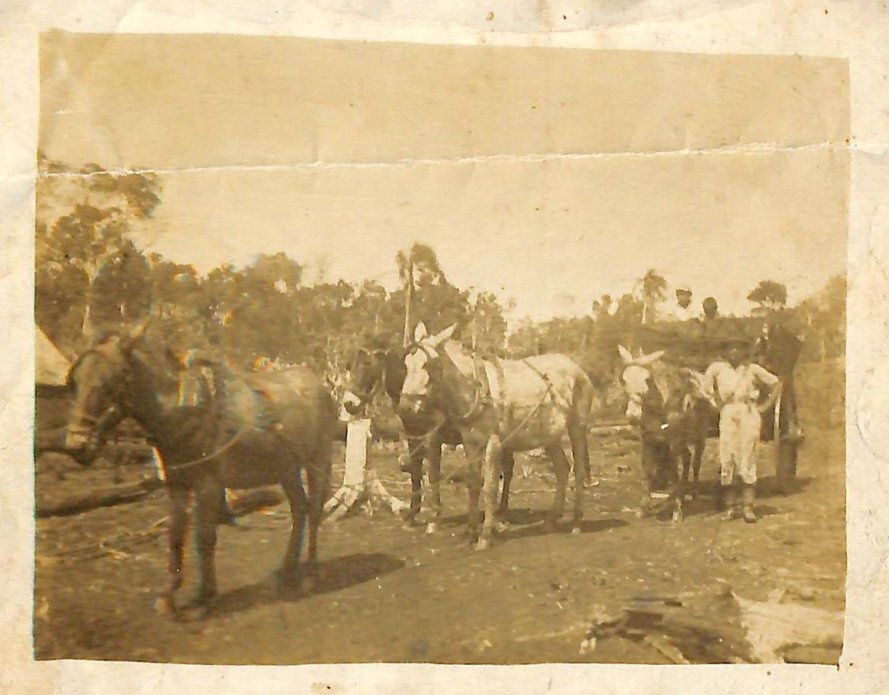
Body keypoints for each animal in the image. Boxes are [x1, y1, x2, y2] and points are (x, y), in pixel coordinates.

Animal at [64, 324, 336, 616]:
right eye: (76, 381)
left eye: (108, 382)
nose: (76, 444)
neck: (181, 411)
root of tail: (319, 385)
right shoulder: (177, 485)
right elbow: (175, 535)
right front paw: (169, 595)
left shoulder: (209, 486)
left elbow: (204, 538)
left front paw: (204, 596)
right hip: (287, 470)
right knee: (299, 509)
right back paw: (287, 570)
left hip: (318, 463)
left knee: (314, 512)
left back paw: (310, 574)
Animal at [344, 340, 516, 532]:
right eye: (350, 367)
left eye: (367, 365)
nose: (348, 404)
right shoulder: (413, 437)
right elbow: (416, 473)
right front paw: (412, 515)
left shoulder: (433, 437)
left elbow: (433, 473)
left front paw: (434, 519)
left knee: (507, 470)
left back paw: (502, 513)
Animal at [398, 324, 592, 552]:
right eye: (406, 364)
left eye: (428, 364)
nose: (404, 408)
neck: (476, 389)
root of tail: (575, 366)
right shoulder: (470, 443)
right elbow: (473, 483)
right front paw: (469, 533)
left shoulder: (493, 443)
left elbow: (489, 487)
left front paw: (484, 536)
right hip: (550, 436)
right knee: (562, 469)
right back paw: (552, 520)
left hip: (577, 427)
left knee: (578, 470)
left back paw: (577, 521)